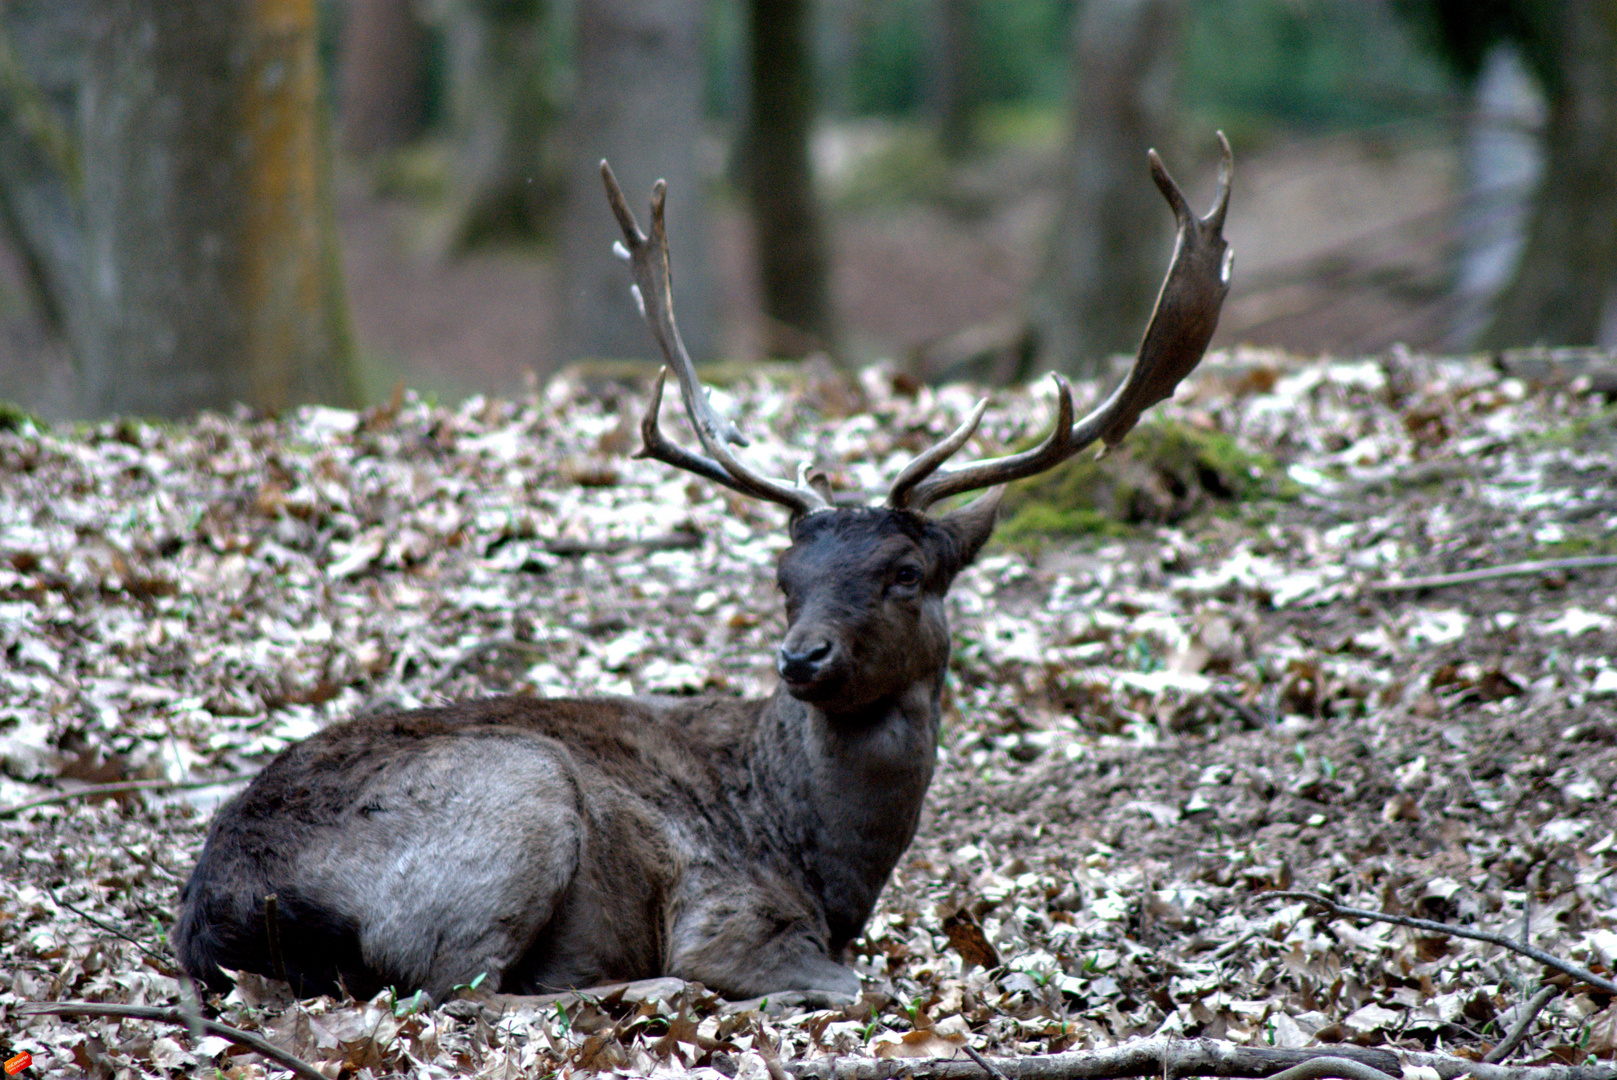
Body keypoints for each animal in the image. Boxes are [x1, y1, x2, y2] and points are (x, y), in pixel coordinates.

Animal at [173, 137, 1235, 1002]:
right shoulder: (726, 911)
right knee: (457, 987)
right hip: (518, 796)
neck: (819, 856)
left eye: (903, 572)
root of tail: (217, 909)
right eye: (784, 576)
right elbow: (850, 984)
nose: (801, 658)